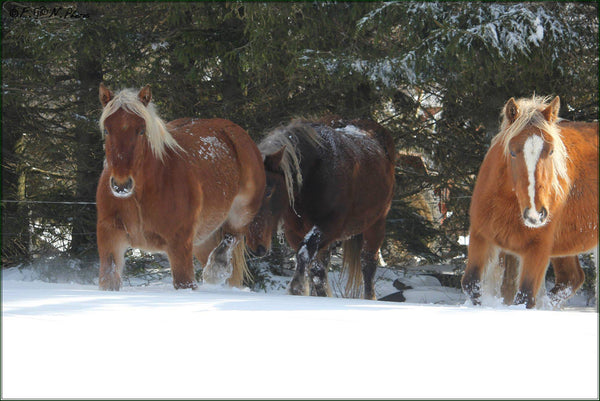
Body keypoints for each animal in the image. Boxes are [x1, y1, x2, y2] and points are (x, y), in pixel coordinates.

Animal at [96, 84, 264, 290]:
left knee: (233, 236)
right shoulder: (110, 236)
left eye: (141, 130)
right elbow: (108, 279)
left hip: (242, 212)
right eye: (107, 130)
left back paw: (215, 270)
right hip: (203, 239)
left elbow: (185, 282)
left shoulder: (179, 244)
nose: (121, 184)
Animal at [246, 115, 396, 296]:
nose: (255, 247)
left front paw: (297, 289)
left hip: (376, 225)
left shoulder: (329, 226)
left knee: (368, 265)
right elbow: (314, 269)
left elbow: (304, 254)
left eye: (268, 191)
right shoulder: (294, 232)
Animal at [462, 95, 596, 308]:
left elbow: (525, 297)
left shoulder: (538, 249)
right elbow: (471, 284)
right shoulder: (480, 236)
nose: (535, 214)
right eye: (512, 151)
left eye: (551, 151)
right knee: (571, 279)